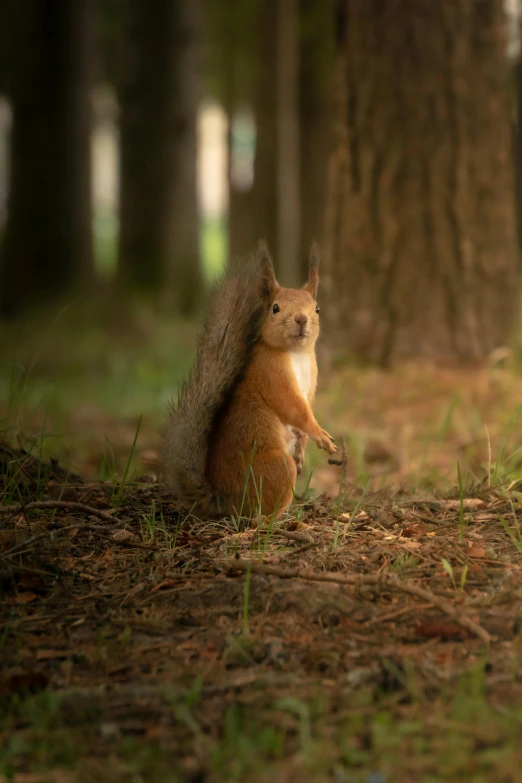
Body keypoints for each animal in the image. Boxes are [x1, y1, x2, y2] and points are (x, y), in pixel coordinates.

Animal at [160, 242, 338, 516]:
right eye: (275, 308)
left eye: (317, 308)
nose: (301, 319)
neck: (296, 354)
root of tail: (226, 499)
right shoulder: (271, 375)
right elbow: (294, 409)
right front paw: (320, 435)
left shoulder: (310, 383)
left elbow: (305, 409)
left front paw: (305, 446)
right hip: (274, 468)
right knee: (260, 512)